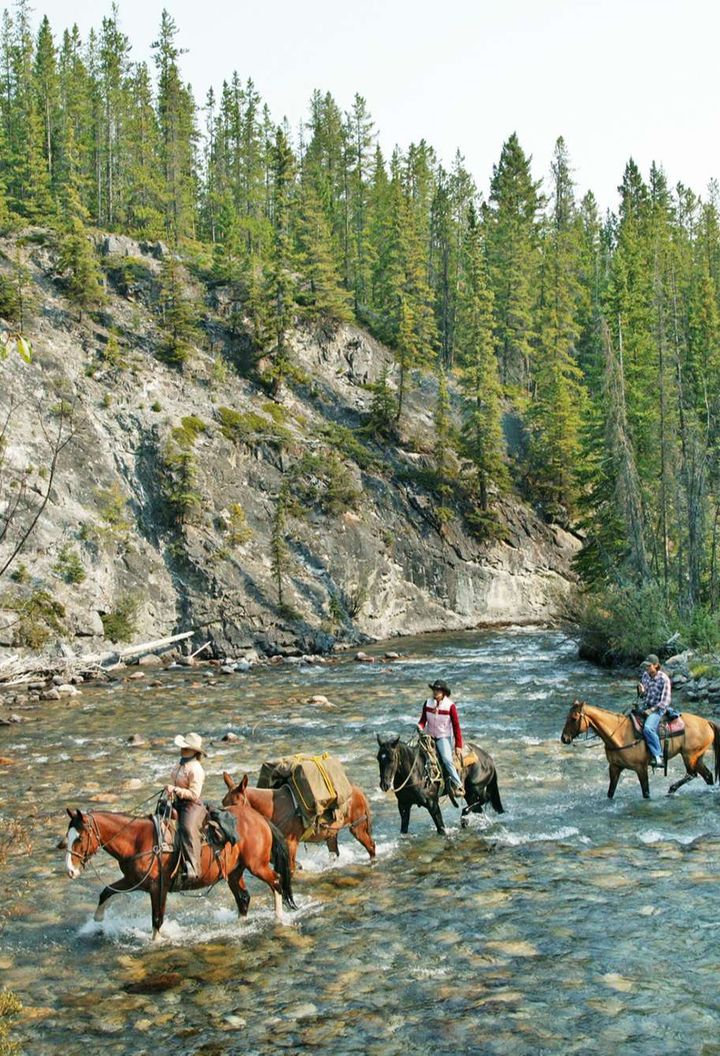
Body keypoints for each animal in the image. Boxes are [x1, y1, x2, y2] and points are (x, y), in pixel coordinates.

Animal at [63, 798, 293, 941]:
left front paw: (156, 942)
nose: (70, 871)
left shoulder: (158, 887)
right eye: (68, 836)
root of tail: (260, 818)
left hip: (257, 866)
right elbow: (106, 891)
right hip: (234, 872)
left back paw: (278, 918)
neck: (137, 840)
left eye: (80, 838)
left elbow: (157, 918)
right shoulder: (133, 880)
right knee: (243, 898)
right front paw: (97, 920)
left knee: (276, 881)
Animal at [220, 772, 375, 870]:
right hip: (331, 834)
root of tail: (359, 791)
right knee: (335, 854)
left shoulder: (291, 843)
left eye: (235, 804)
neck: (273, 808)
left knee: (371, 846)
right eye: (223, 803)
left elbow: (291, 866)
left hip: (357, 828)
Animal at [375, 734, 504, 832]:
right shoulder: (403, 805)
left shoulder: (433, 804)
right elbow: (404, 830)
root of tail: (489, 759)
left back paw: (464, 815)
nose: (384, 785)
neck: (417, 772)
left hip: (476, 787)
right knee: (478, 808)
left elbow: (441, 829)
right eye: (378, 758)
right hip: (469, 793)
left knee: (485, 798)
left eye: (391, 759)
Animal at [557, 701, 717, 798]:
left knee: (692, 774)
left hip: (689, 755)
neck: (620, 735)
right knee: (708, 776)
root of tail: (707, 722)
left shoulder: (641, 768)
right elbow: (610, 792)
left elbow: (646, 792)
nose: (564, 738)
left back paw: (671, 789)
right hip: (697, 756)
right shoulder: (614, 767)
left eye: (574, 718)